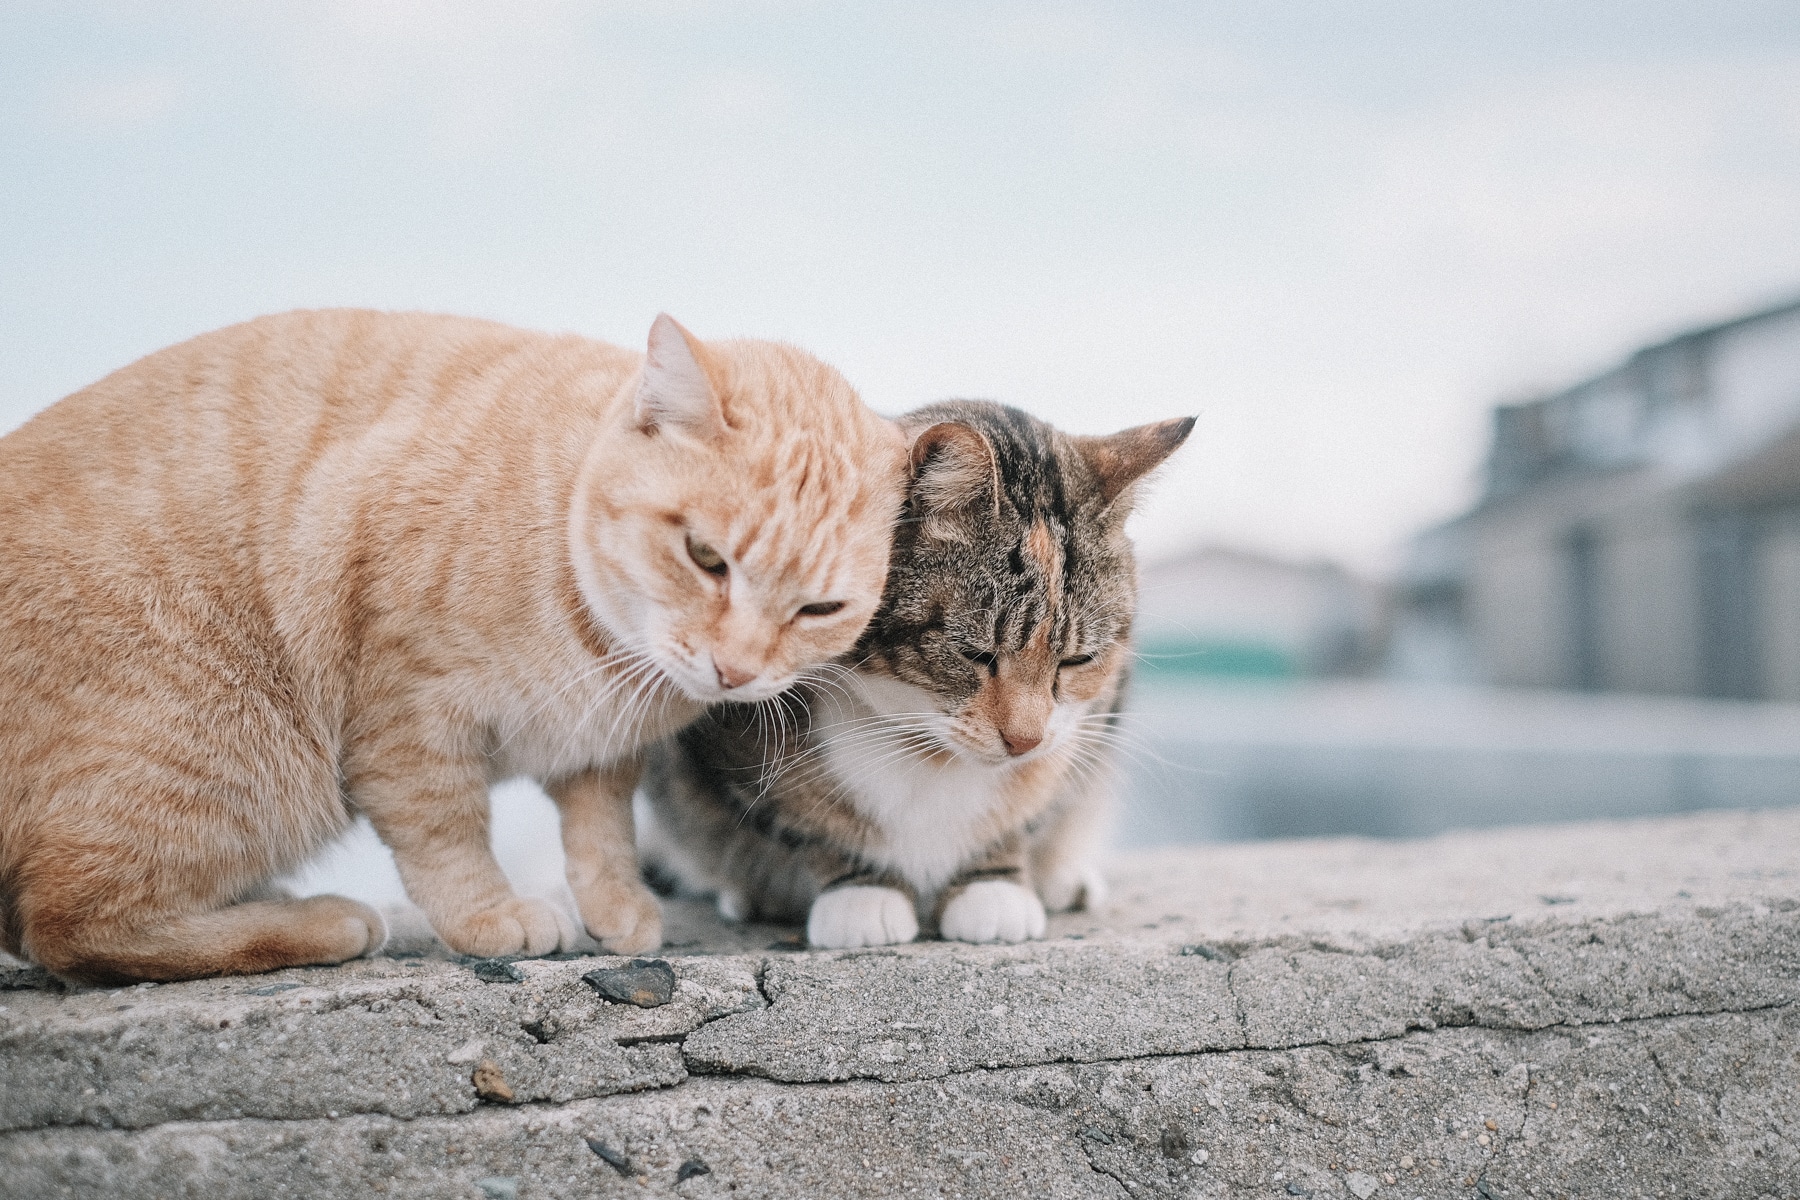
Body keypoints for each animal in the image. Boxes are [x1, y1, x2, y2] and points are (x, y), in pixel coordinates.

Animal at [0, 309, 907, 985]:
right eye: (706, 558)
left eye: (820, 607)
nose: (736, 670)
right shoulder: (409, 717)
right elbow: (448, 835)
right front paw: (489, 916)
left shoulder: (599, 751)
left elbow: (602, 832)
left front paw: (615, 908)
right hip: (230, 752)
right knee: (67, 926)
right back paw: (326, 919)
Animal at [640, 402, 1188, 949]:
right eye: (975, 653)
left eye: (1077, 660)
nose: (1024, 742)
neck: (927, 746)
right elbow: (803, 813)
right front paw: (861, 892)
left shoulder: (1087, 723)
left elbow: (1032, 809)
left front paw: (993, 885)